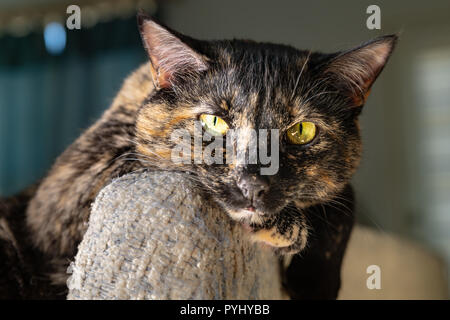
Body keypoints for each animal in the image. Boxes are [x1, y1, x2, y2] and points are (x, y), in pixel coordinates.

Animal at [1, 14, 400, 300]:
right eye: (215, 122)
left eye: (301, 131)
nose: (253, 185)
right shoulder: (67, 191)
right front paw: (288, 228)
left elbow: (343, 198)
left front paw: (315, 283)